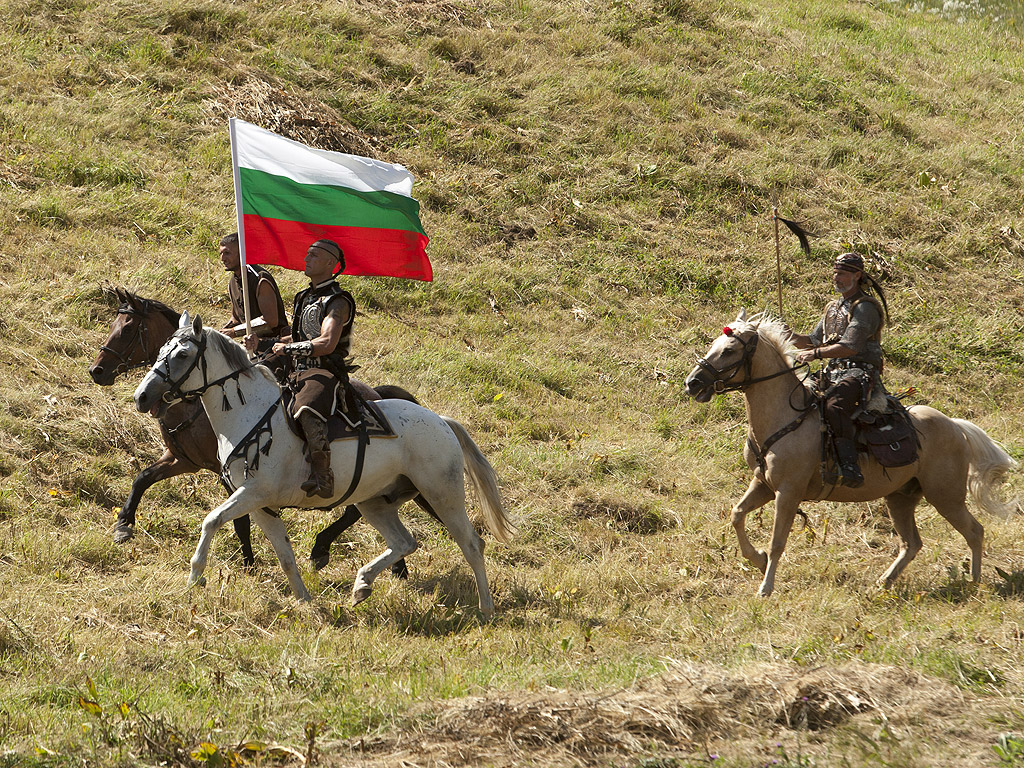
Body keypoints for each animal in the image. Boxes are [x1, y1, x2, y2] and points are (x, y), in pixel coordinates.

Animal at [89, 286, 419, 573]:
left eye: (127, 329)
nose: (97, 371)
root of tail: (376, 393)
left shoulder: (233, 475)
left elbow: (240, 521)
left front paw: (248, 561)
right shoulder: (182, 460)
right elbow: (142, 479)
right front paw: (123, 526)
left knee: (355, 508)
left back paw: (337, 552)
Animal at [134, 313, 509, 618]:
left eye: (182, 355)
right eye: (160, 351)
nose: (142, 397)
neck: (248, 413)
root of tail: (442, 422)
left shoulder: (253, 493)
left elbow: (211, 521)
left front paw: (195, 577)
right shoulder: (259, 504)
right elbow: (284, 555)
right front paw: (304, 600)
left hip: (441, 495)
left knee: (472, 544)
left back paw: (486, 609)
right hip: (375, 502)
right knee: (404, 542)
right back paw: (362, 584)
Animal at [688, 309, 1015, 598]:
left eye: (729, 350)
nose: (692, 383)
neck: (785, 418)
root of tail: (955, 426)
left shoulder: (788, 492)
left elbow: (777, 541)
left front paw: (766, 587)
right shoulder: (764, 485)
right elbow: (737, 514)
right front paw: (758, 558)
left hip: (945, 496)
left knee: (974, 531)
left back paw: (974, 582)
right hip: (901, 497)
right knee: (912, 543)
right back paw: (884, 582)